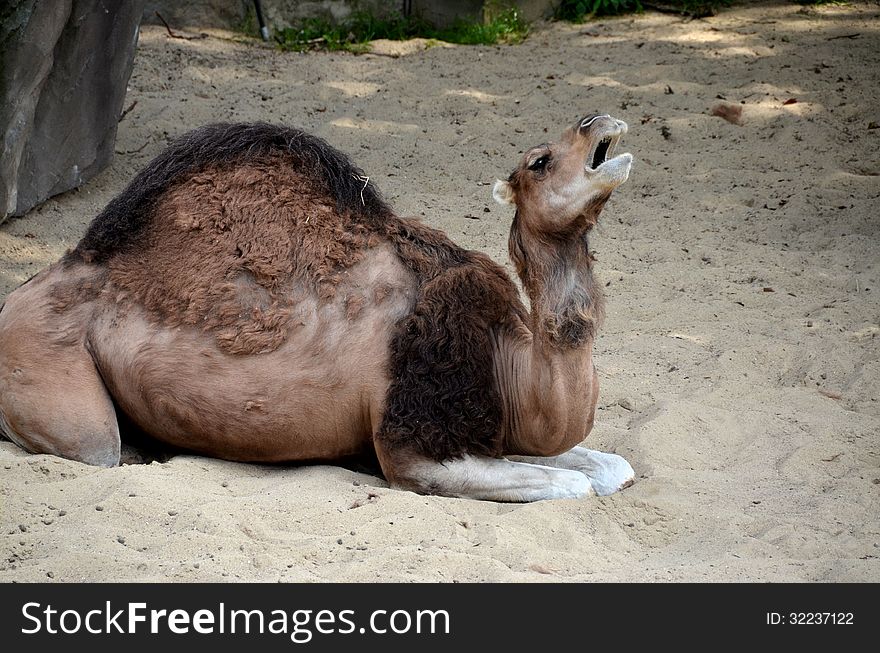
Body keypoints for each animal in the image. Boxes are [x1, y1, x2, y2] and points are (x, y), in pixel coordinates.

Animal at [0, 113, 636, 500]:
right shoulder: (414, 447)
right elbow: (572, 484)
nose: (598, 122)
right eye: (539, 161)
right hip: (51, 371)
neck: (507, 359)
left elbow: (610, 467)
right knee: (95, 445)